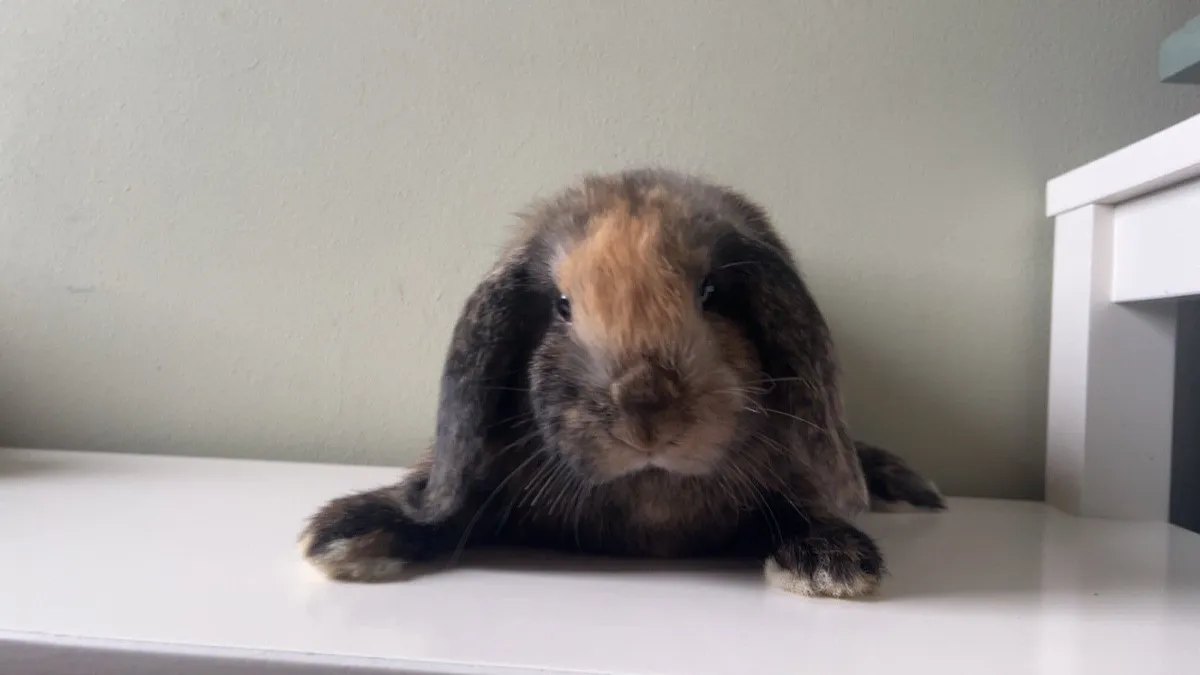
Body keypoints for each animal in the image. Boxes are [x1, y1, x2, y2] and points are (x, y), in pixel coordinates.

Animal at [299, 168, 944, 598]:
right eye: (561, 306)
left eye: (712, 293)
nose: (646, 413)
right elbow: (446, 508)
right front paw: (347, 535)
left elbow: (798, 509)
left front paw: (832, 564)